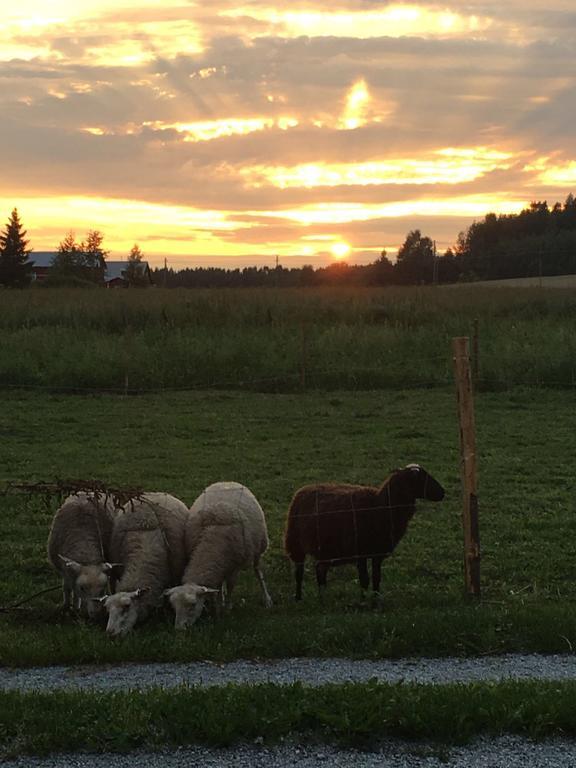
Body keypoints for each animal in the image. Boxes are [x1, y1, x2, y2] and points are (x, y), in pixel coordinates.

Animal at [165, 480, 274, 632]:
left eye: (192, 605)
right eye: (174, 607)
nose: (179, 629)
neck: (210, 545)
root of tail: (226, 481)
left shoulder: (234, 566)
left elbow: (231, 585)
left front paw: (227, 608)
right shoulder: (220, 563)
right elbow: (215, 589)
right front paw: (216, 608)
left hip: (259, 546)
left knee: (258, 572)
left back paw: (267, 599)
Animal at [284, 464, 446, 604]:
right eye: (421, 478)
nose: (443, 492)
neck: (381, 505)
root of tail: (303, 489)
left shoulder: (377, 553)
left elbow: (376, 578)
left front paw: (375, 601)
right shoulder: (360, 552)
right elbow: (364, 579)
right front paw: (363, 601)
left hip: (324, 549)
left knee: (320, 572)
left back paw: (322, 598)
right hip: (295, 542)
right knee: (299, 573)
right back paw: (298, 598)